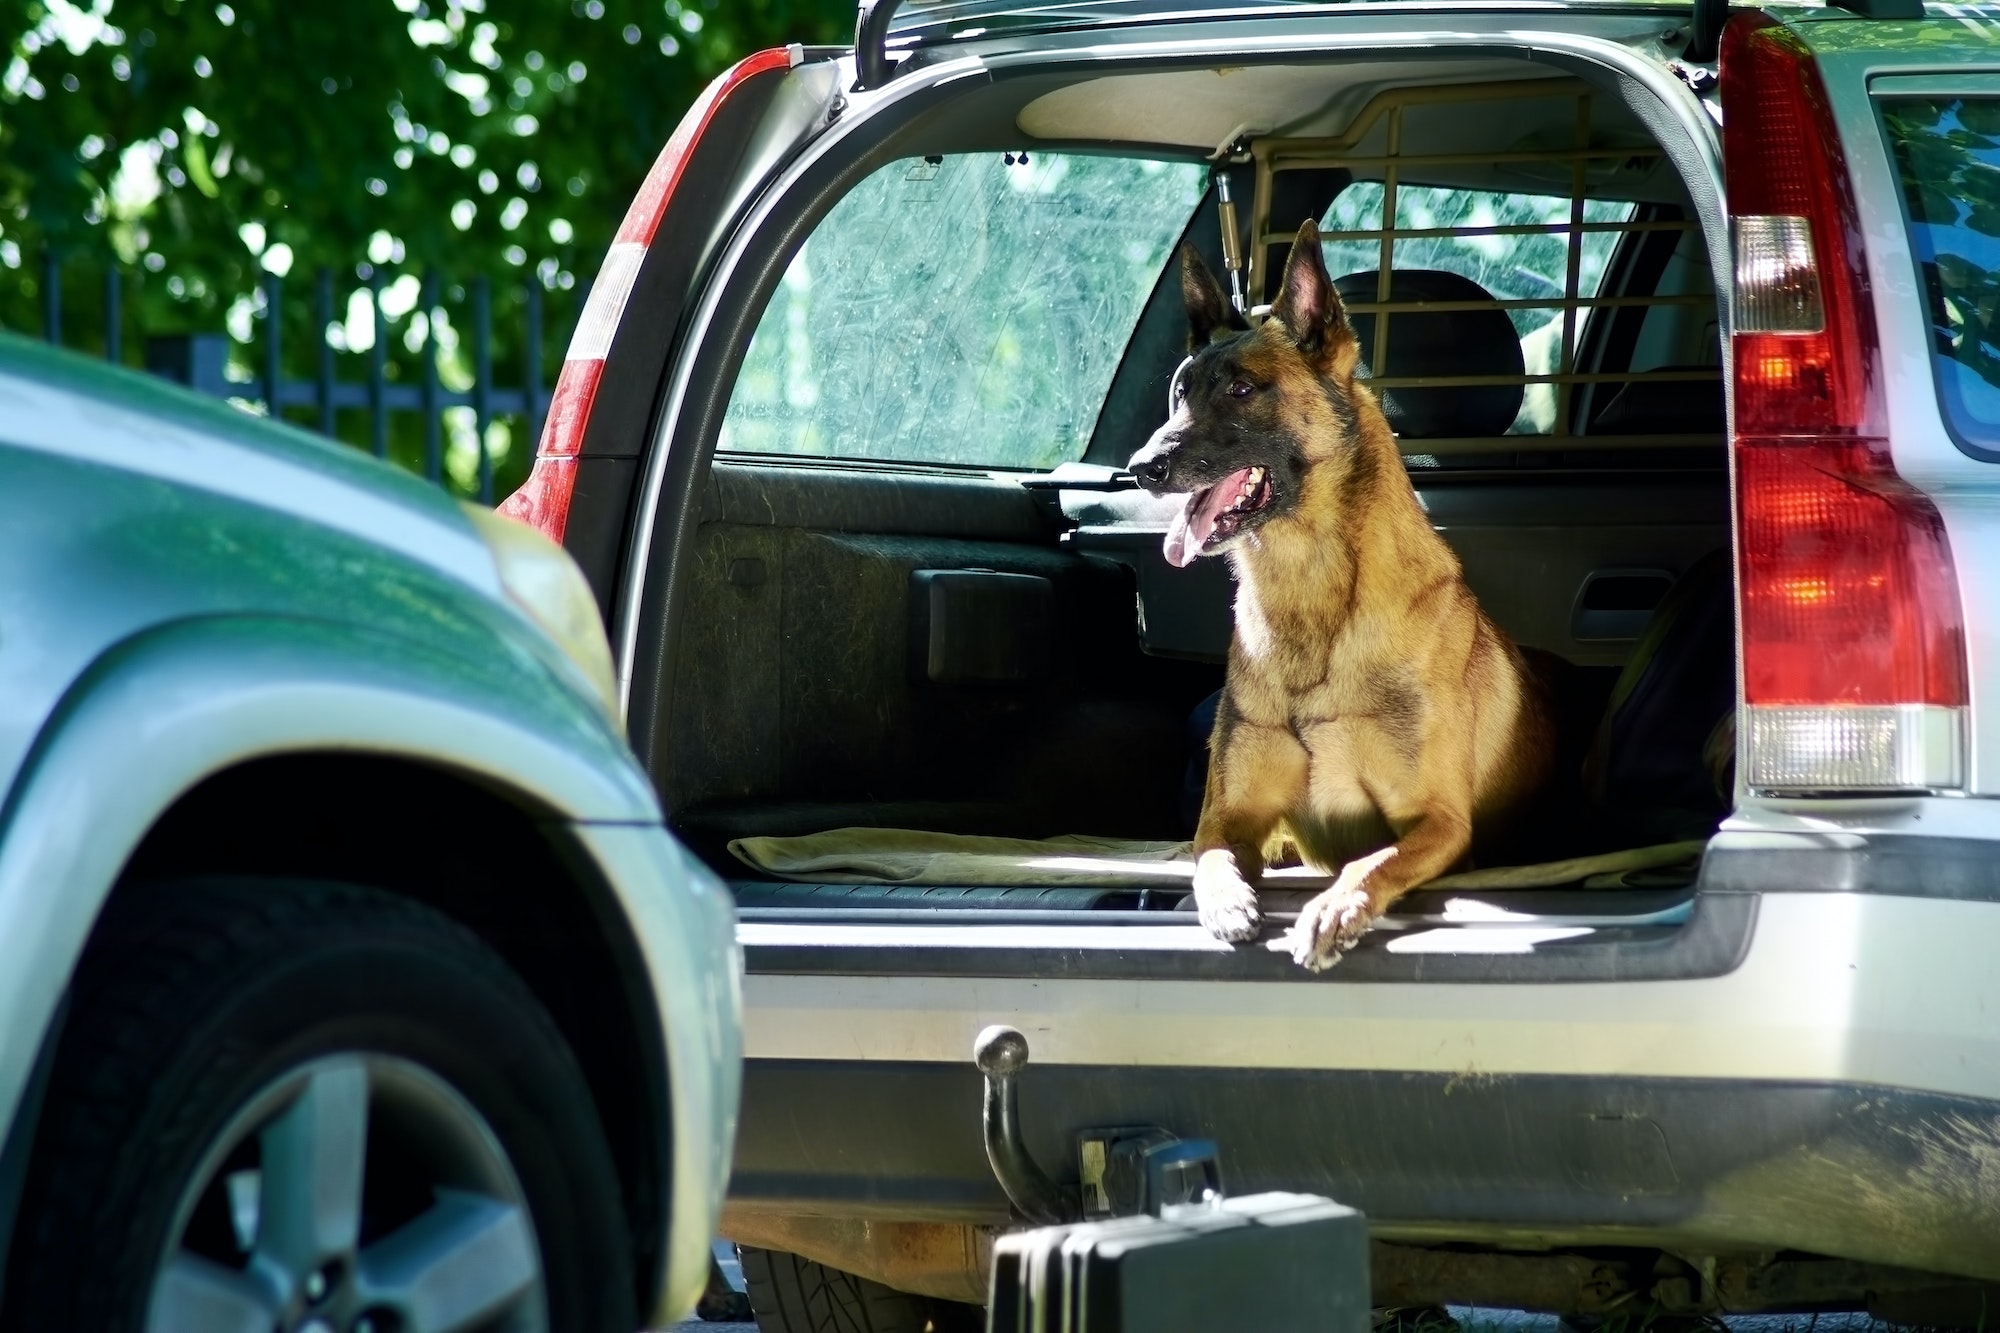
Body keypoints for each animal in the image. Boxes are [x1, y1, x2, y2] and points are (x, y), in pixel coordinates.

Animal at [1136, 218, 1552, 964]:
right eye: (1180, 392)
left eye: (1242, 391)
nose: (1140, 467)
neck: (1309, 597)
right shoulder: (1228, 815)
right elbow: (1211, 854)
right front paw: (1226, 900)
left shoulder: (1439, 822)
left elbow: (1370, 859)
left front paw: (1333, 908)